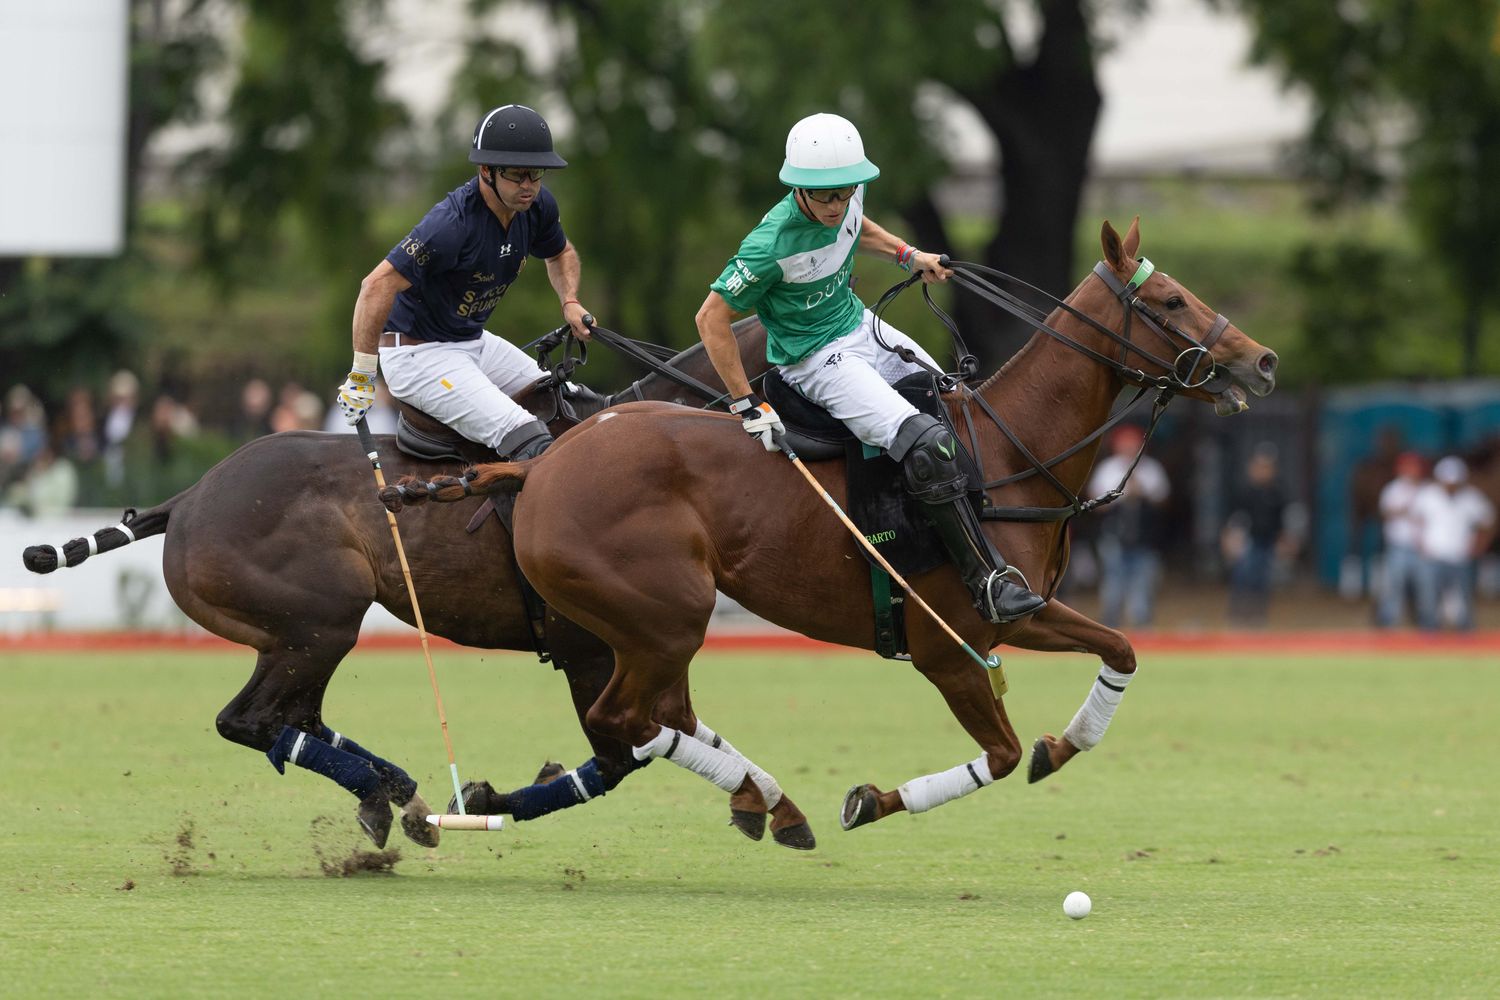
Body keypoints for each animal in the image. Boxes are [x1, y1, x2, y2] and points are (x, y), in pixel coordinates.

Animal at [20, 319, 774, 845]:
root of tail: (189, 496)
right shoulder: (590, 651)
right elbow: (623, 757)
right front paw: (485, 800)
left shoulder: (645, 647)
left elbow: (661, 740)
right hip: (320, 621)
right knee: (253, 719)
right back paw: (388, 794)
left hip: (292, 636)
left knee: (292, 718)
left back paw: (392, 789)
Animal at [399, 218, 1278, 839]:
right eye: (1171, 302)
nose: (1263, 361)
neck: (1005, 452)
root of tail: (539, 467)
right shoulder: (949, 648)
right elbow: (996, 755)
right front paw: (871, 799)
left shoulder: (1015, 614)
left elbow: (1119, 649)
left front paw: (1059, 746)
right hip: (664, 618)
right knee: (628, 724)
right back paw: (761, 801)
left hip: (643, 628)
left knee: (639, 725)